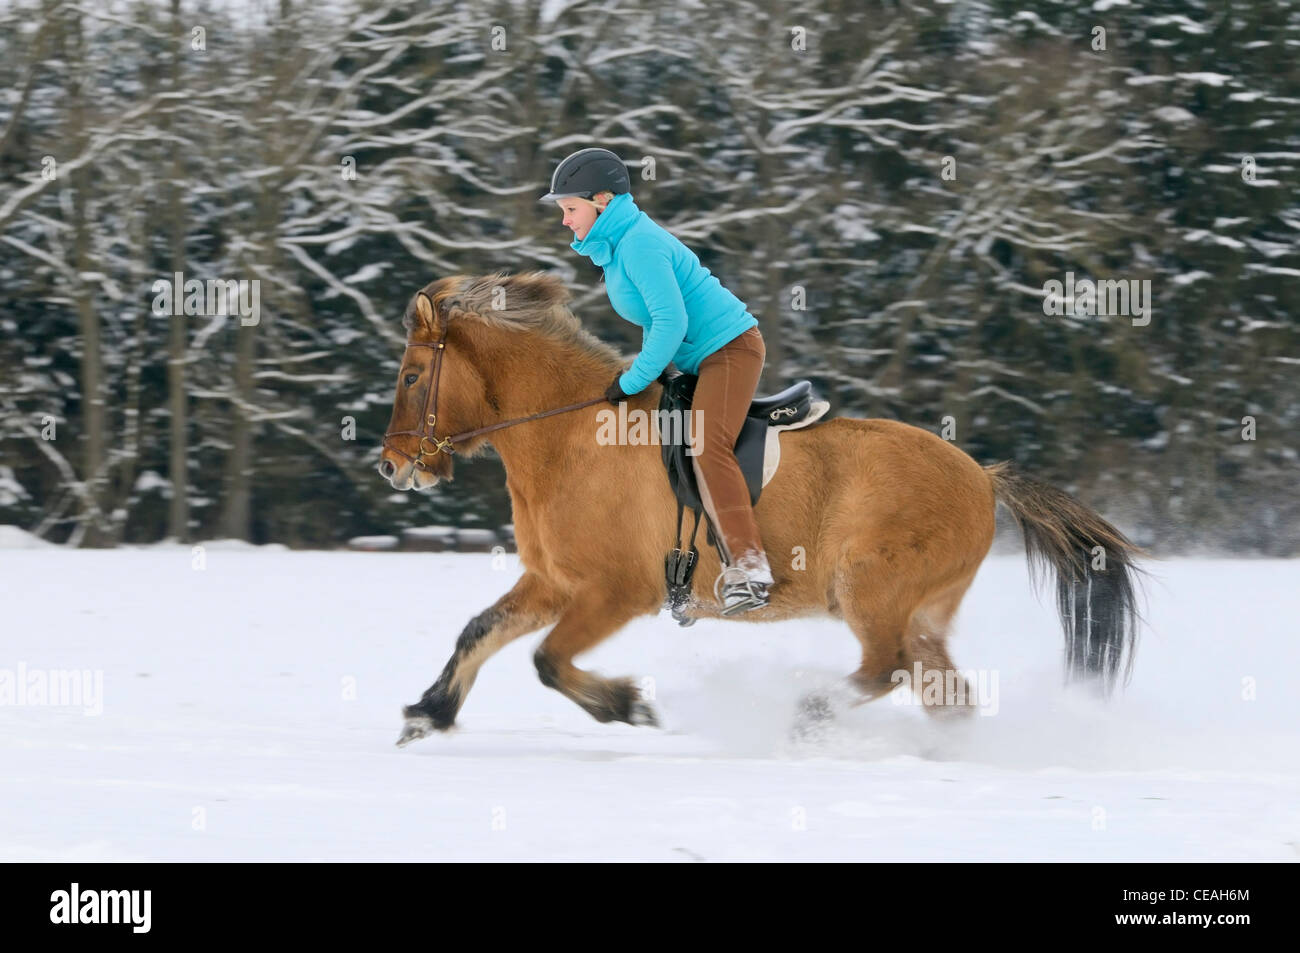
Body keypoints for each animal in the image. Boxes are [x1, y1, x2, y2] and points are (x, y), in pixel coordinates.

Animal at [378, 271, 1146, 747]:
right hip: (920, 611)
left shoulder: (614, 592)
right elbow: (479, 632)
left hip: (872, 591)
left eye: (412, 376)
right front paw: (426, 713)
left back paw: (806, 716)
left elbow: (547, 660)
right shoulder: (553, 582)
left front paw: (629, 704)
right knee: (942, 693)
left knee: (887, 668)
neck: (571, 433)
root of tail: (982, 477)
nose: (391, 465)